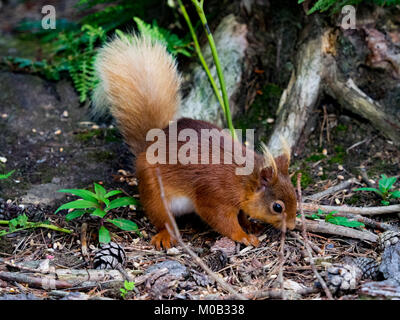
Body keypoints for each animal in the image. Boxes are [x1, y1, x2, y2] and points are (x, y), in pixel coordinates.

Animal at [91, 35, 296, 250]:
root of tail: (150, 144)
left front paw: (249, 224)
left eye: (295, 194)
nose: (291, 226)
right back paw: (166, 235)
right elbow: (222, 220)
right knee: (162, 218)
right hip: (154, 190)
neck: (243, 180)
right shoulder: (214, 195)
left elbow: (241, 213)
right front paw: (243, 236)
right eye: (277, 207)